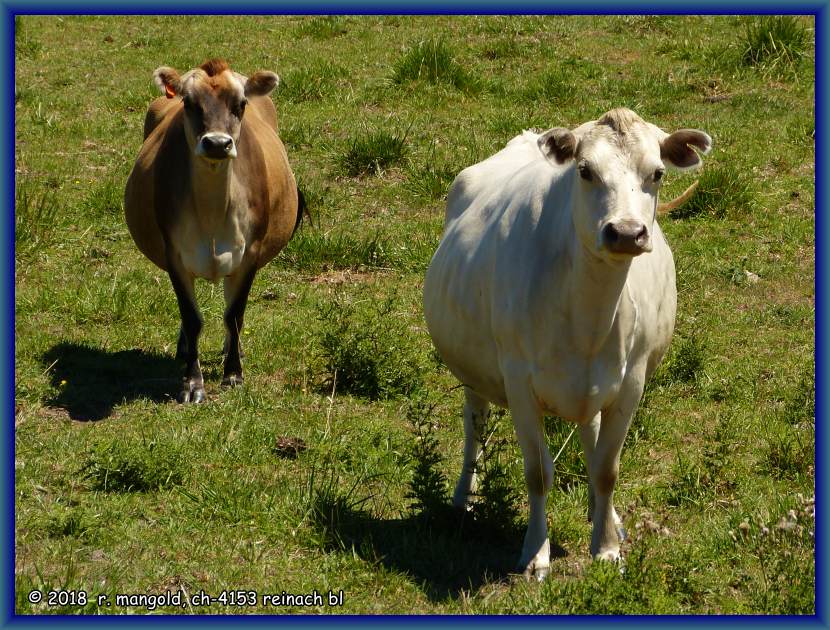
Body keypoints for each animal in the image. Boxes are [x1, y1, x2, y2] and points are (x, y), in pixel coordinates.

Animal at [125, 59, 304, 404]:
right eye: (189, 103)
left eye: (241, 104)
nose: (218, 143)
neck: (211, 212)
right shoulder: (175, 255)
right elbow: (192, 318)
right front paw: (192, 383)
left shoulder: (249, 254)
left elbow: (234, 315)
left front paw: (233, 374)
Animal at [426, 108, 712, 584]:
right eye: (585, 171)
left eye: (657, 173)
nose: (626, 233)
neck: (587, 313)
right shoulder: (518, 381)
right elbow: (539, 472)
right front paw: (535, 553)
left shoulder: (631, 383)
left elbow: (605, 468)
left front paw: (607, 545)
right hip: (474, 372)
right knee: (475, 424)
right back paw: (465, 496)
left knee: (589, 437)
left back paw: (605, 516)